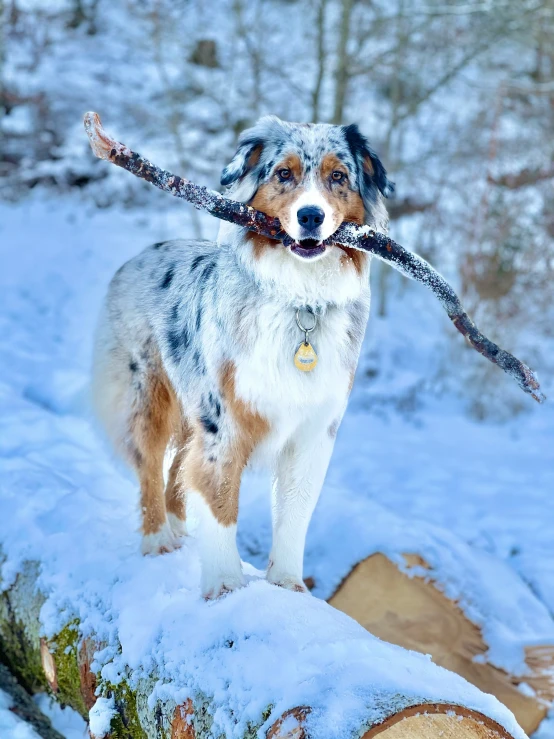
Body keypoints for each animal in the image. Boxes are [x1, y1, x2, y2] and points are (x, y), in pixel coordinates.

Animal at [91, 115, 392, 600]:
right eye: (283, 173)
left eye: (338, 177)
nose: (311, 216)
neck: (300, 299)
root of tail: (142, 254)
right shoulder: (225, 422)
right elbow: (219, 501)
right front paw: (225, 586)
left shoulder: (313, 431)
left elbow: (293, 514)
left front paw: (287, 585)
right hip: (148, 393)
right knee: (152, 466)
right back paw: (158, 540)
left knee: (178, 468)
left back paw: (178, 529)